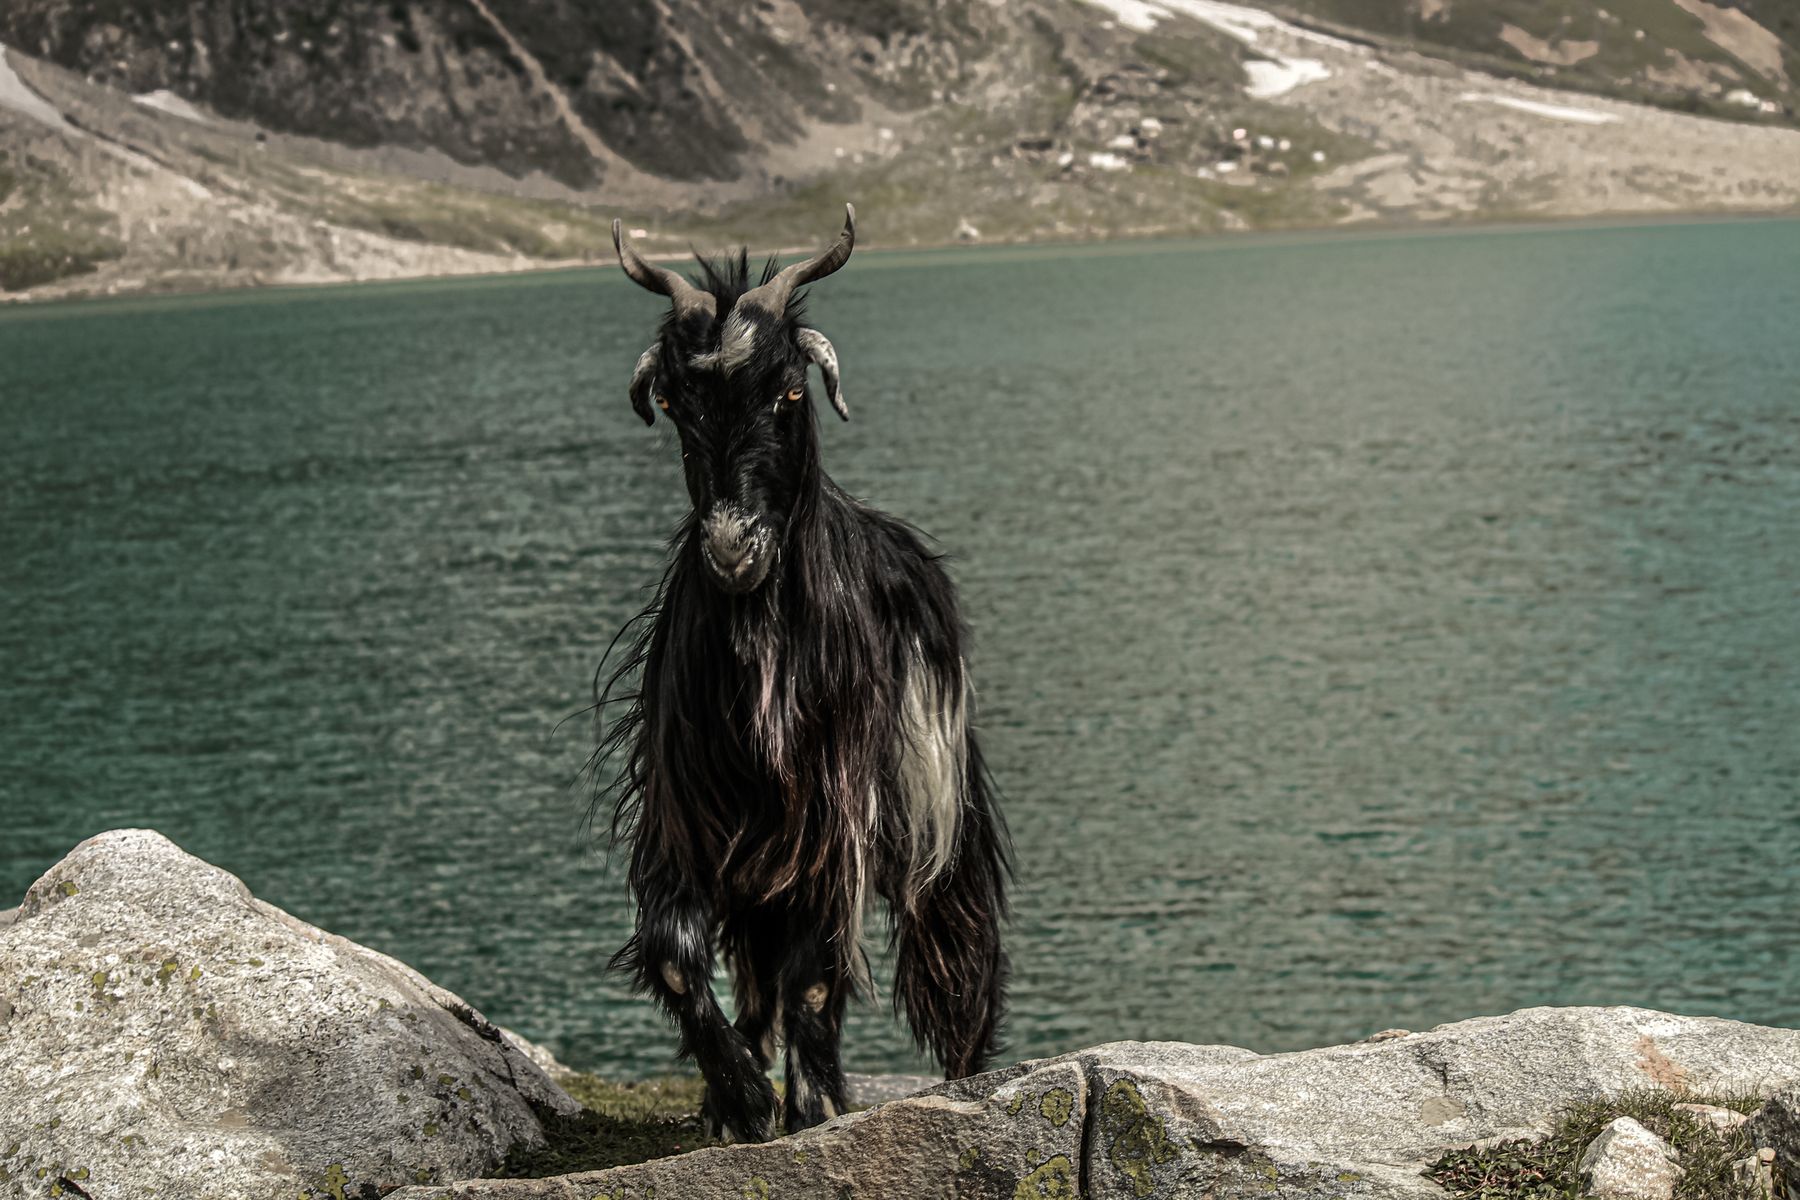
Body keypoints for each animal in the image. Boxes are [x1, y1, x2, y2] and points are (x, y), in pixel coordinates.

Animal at [595, 206, 1011, 1142]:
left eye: (789, 391)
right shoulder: (688, 820)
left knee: (946, 938)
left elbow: (815, 974)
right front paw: (741, 1098)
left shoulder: (832, 820)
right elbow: (678, 957)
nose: (732, 548)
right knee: (754, 966)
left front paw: (813, 1106)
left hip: (931, 803)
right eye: (673, 400)